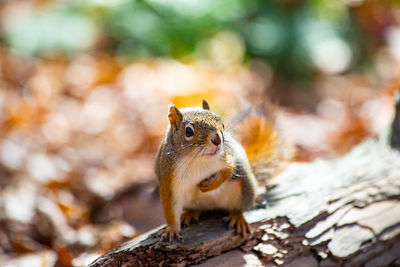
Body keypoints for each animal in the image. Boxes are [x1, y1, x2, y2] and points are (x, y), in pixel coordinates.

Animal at [155, 99, 290, 242]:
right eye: (189, 131)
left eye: (222, 124)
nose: (217, 140)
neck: (198, 160)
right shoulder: (169, 180)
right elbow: (170, 209)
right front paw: (172, 230)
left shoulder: (227, 156)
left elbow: (229, 168)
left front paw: (212, 184)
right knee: (195, 208)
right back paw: (190, 213)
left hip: (245, 190)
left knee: (238, 207)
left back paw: (237, 217)